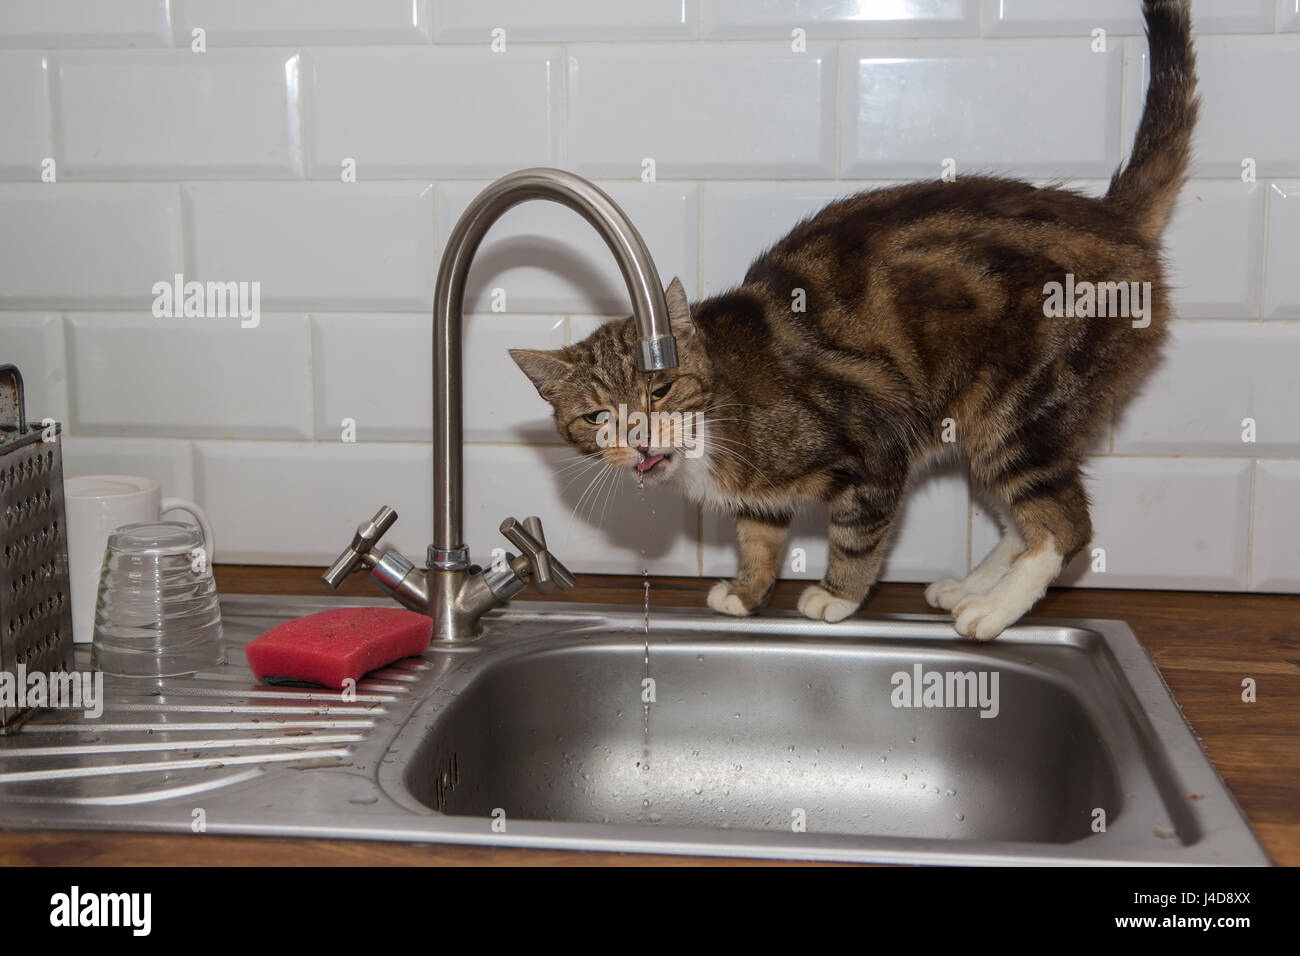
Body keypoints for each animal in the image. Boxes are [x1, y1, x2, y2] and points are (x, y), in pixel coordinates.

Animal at [506, 3, 1196, 642]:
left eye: (662, 389)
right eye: (598, 417)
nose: (642, 439)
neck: (718, 409)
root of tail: (1115, 220)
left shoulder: (876, 442)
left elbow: (859, 532)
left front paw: (836, 596)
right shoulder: (761, 493)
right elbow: (759, 533)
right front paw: (746, 592)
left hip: (1023, 406)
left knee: (1063, 524)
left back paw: (993, 609)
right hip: (990, 419)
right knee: (1021, 516)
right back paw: (972, 584)